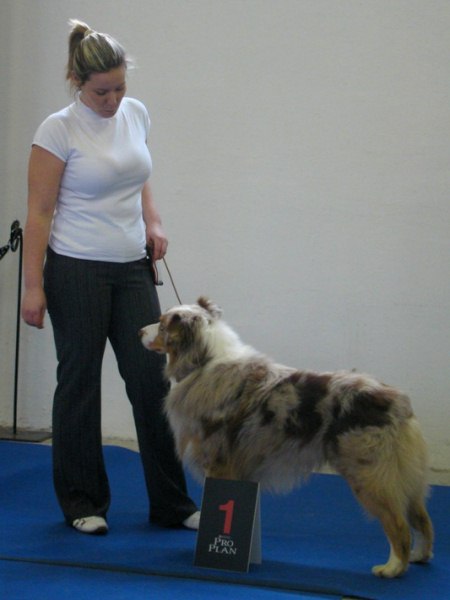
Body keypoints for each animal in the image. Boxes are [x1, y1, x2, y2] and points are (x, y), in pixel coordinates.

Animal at [139, 297, 433, 578]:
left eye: (162, 325)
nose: (139, 330)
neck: (204, 360)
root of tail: (399, 402)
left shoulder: (219, 464)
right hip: (403, 474)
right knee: (422, 518)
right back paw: (420, 556)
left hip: (369, 473)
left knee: (398, 524)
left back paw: (392, 568)